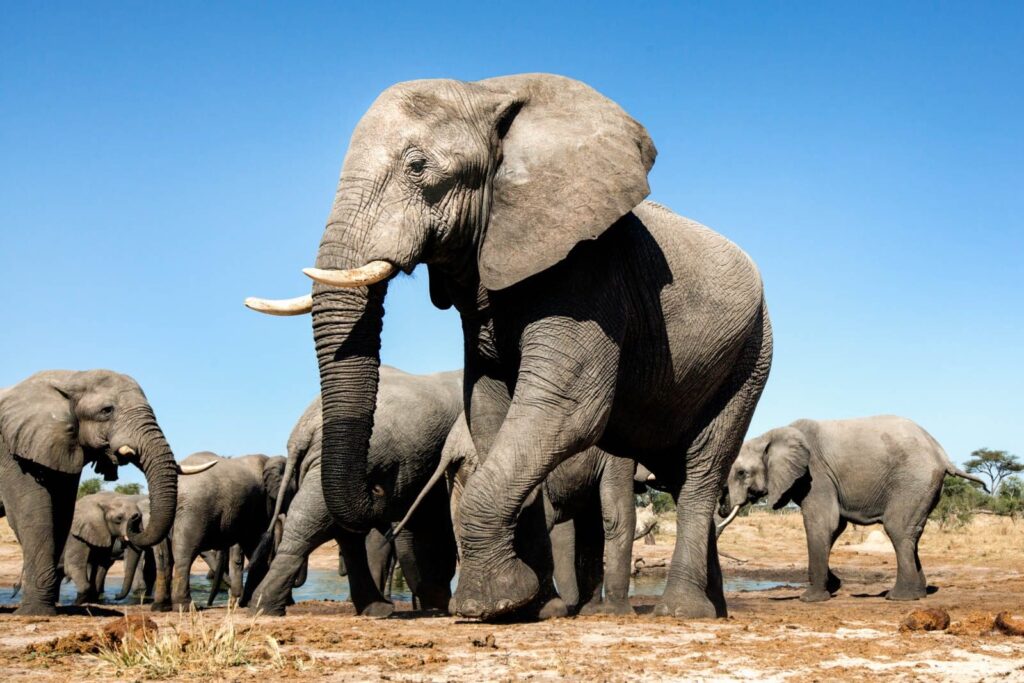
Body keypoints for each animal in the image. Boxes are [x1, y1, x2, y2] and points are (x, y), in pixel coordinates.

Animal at [0, 370, 207, 615]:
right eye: (107, 410)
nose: (135, 520)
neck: (68, 378)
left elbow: (61, 514)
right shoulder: (13, 453)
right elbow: (33, 516)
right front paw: (35, 613)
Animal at [149, 452, 291, 610]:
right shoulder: (262, 505)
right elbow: (254, 543)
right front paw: (249, 602)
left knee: (164, 557)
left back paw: (161, 607)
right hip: (194, 511)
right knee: (185, 551)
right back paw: (185, 607)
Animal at [721, 415, 988, 602]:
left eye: (741, 473)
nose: (724, 506)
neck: (769, 436)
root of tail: (942, 455)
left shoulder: (815, 474)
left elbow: (822, 523)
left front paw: (811, 598)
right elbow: (835, 526)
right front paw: (833, 585)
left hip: (913, 480)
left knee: (898, 528)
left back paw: (899, 597)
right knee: (912, 533)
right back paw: (918, 592)